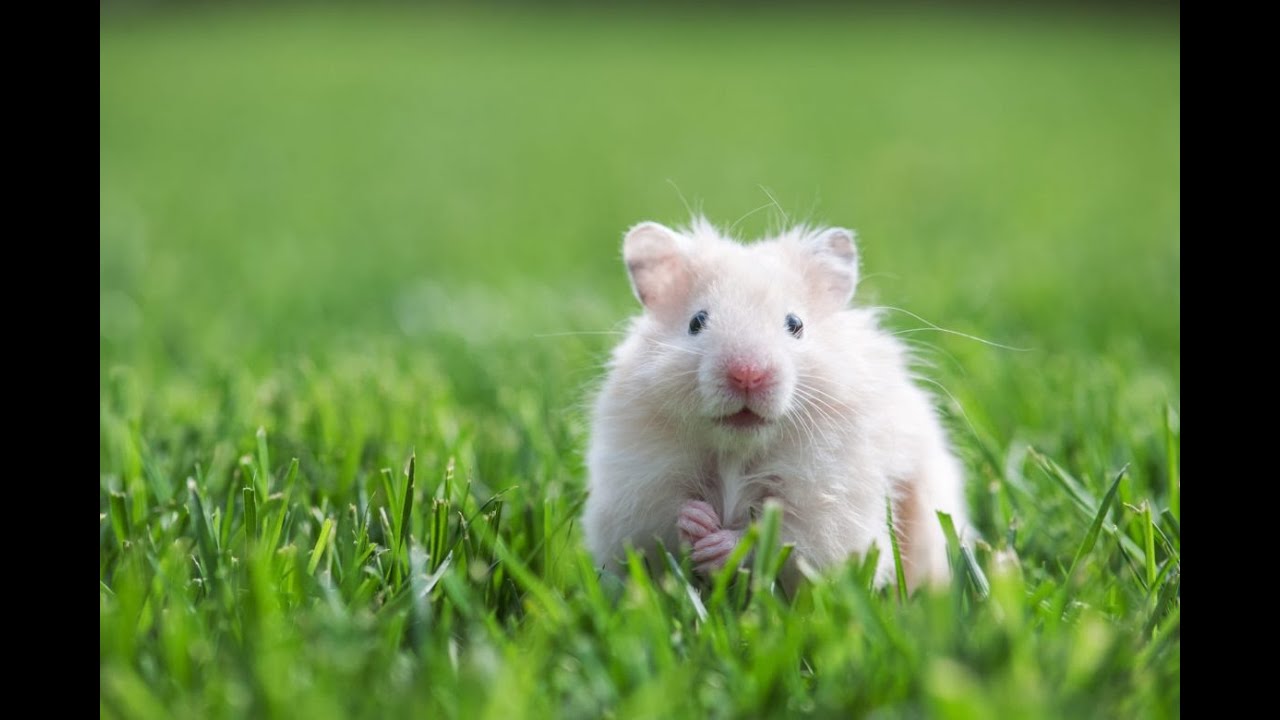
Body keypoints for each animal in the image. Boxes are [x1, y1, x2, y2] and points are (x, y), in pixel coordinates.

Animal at [582, 216, 972, 591]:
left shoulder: (828, 512)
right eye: (696, 322)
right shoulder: (635, 495)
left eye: (795, 324)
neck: (737, 449)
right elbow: (661, 523)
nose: (747, 374)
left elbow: (779, 539)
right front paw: (697, 520)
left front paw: (720, 546)